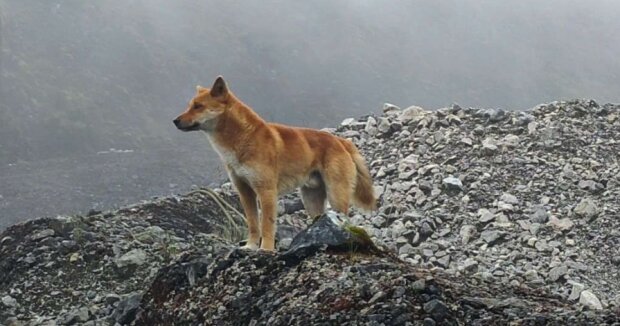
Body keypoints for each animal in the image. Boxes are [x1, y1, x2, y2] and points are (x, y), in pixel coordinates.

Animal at [176, 76, 378, 250]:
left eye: (198, 106)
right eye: (190, 106)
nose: (175, 121)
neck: (244, 138)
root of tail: (341, 141)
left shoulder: (266, 191)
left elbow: (267, 226)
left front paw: (265, 249)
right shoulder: (245, 192)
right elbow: (253, 224)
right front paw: (250, 246)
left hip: (336, 195)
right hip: (311, 199)